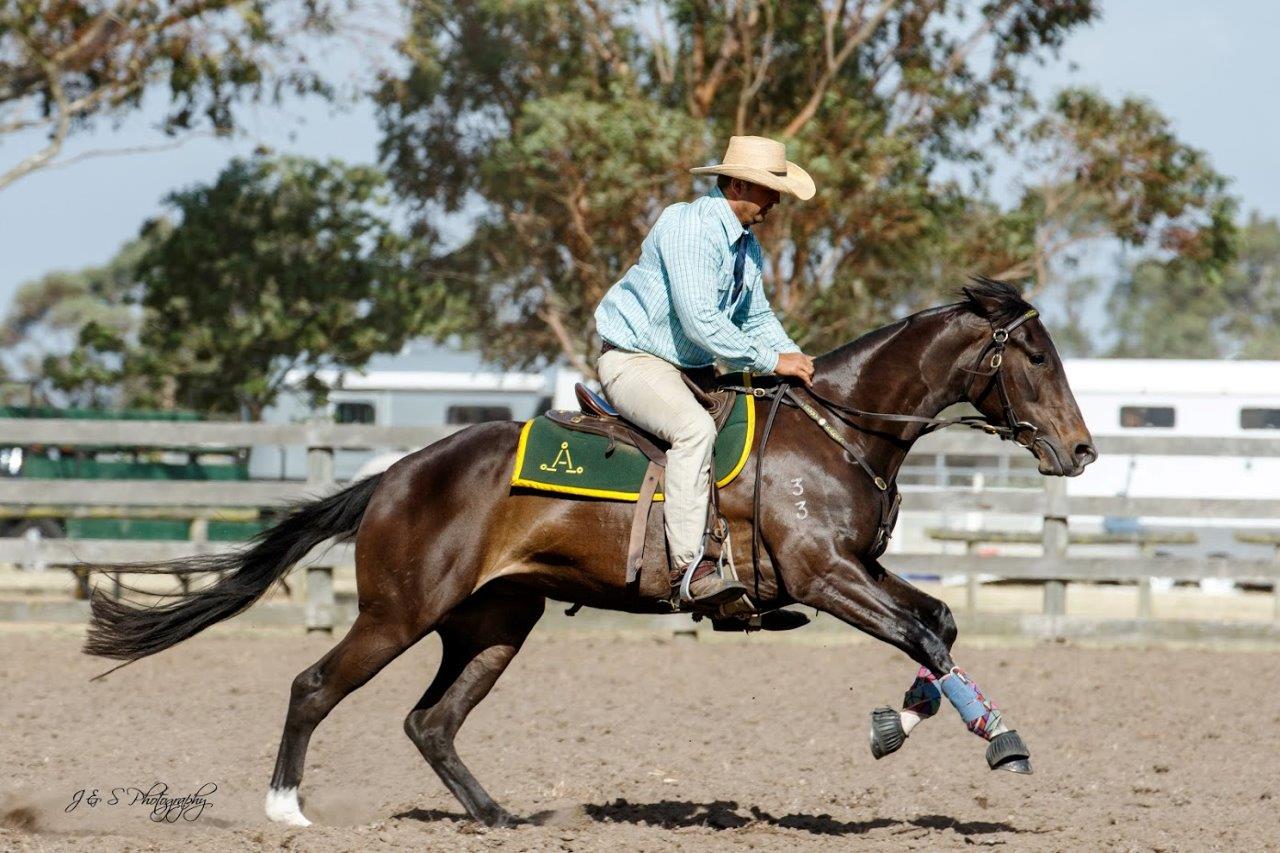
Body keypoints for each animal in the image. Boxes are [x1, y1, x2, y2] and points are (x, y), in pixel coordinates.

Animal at [82, 277, 1100, 824]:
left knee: (431, 722)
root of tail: (397, 473)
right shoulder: (828, 575)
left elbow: (941, 621)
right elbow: (925, 633)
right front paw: (1001, 742)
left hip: (494, 621)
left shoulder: (861, 570)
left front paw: (901, 723)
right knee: (314, 686)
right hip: (399, 612)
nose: (1082, 450)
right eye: (1036, 356)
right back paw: (285, 807)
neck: (838, 430)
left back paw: (499, 816)